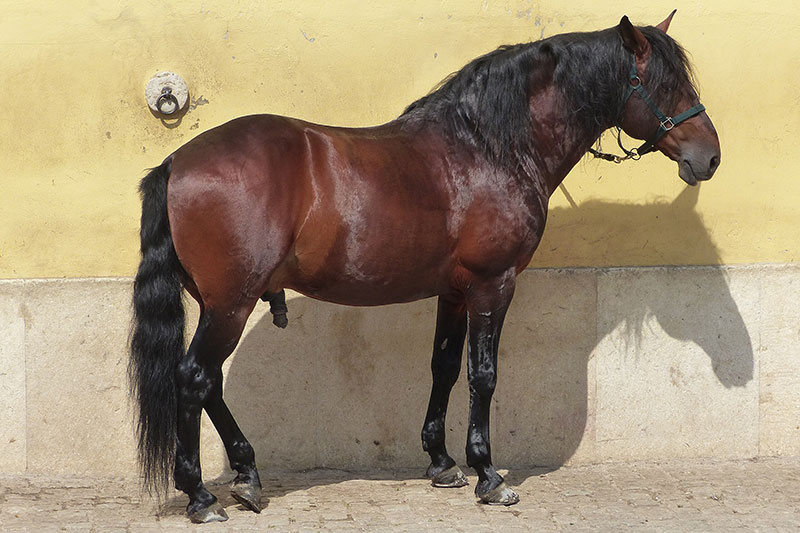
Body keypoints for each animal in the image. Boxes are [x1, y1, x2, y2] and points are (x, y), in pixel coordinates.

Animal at [130, 12, 720, 523]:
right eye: (664, 84)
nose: (710, 157)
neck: (489, 148)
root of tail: (177, 161)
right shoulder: (492, 286)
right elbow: (483, 375)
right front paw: (488, 474)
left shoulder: (455, 291)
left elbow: (444, 367)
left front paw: (442, 463)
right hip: (231, 302)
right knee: (194, 378)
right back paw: (202, 495)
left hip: (219, 303)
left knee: (209, 383)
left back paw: (248, 475)